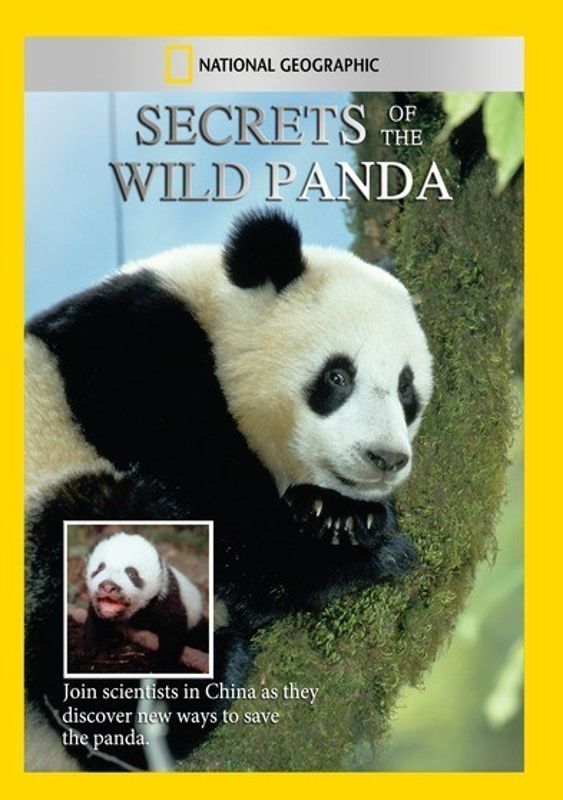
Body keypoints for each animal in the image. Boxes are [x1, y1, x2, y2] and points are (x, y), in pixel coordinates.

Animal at [25, 209, 433, 770]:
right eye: (337, 376)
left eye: (406, 389)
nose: (385, 458)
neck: (217, 318)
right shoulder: (135, 365)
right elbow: (225, 523)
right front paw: (357, 556)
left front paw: (341, 515)